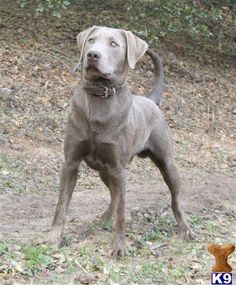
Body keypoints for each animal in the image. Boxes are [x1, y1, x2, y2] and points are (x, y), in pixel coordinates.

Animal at [48, 25, 194, 256]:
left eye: (114, 44)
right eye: (91, 40)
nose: (92, 55)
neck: (100, 96)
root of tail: (151, 101)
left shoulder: (118, 167)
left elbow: (122, 213)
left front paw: (118, 247)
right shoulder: (71, 163)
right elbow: (61, 205)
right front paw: (53, 240)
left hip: (167, 164)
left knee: (175, 199)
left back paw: (185, 229)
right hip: (104, 171)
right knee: (114, 195)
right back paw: (104, 217)